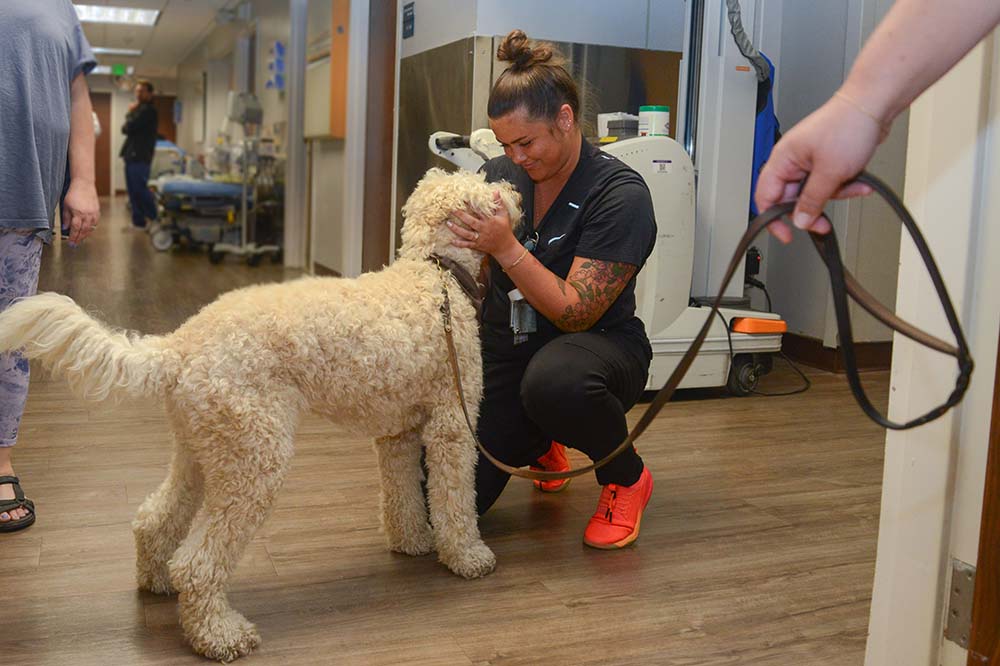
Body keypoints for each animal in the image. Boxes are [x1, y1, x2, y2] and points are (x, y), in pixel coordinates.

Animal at [0, 170, 528, 660]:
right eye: (490, 186)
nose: (517, 190)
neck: (434, 276)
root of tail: (179, 345)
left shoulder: (397, 433)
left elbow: (403, 494)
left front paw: (413, 540)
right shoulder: (453, 427)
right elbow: (455, 499)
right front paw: (468, 556)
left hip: (201, 452)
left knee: (153, 520)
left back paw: (155, 583)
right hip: (256, 459)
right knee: (197, 564)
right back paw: (220, 636)